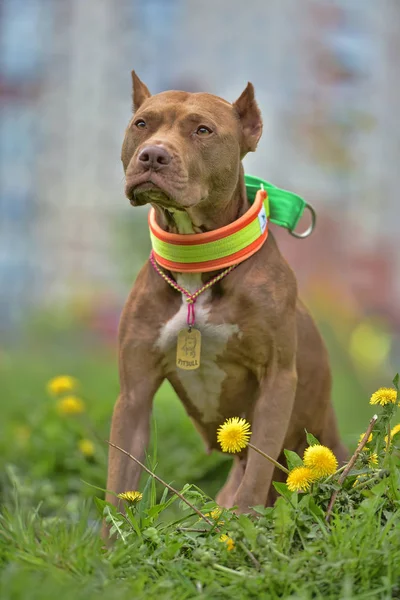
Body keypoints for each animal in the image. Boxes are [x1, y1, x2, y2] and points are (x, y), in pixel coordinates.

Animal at [104, 71, 346, 516]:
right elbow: (118, 487)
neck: (196, 266)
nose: (152, 156)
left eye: (203, 130)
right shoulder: (133, 394)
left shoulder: (277, 379)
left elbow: (258, 471)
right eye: (142, 124)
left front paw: (245, 520)